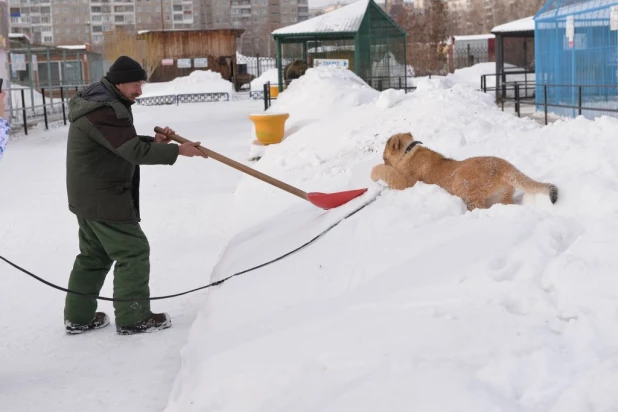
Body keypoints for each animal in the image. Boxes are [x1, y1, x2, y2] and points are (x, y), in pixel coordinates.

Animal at [370, 134, 560, 211]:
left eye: (384, 152)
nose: (382, 156)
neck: (409, 152)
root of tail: (504, 166)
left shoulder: (405, 183)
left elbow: (385, 171)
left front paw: (373, 174)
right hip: (502, 197)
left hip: (463, 184)